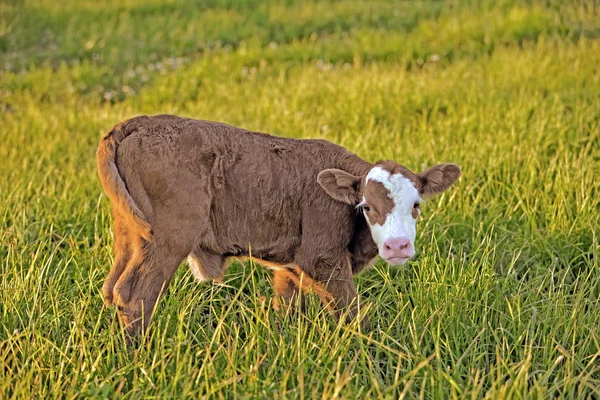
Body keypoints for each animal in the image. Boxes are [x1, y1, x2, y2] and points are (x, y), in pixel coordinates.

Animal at [96, 114, 460, 336]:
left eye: (416, 205)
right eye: (366, 206)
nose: (397, 246)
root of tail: (136, 124)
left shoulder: (291, 265)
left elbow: (287, 309)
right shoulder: (322, 258)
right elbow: (352, 313)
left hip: (130, 235)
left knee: (112, 288)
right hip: (170, 236)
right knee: (135, 296)